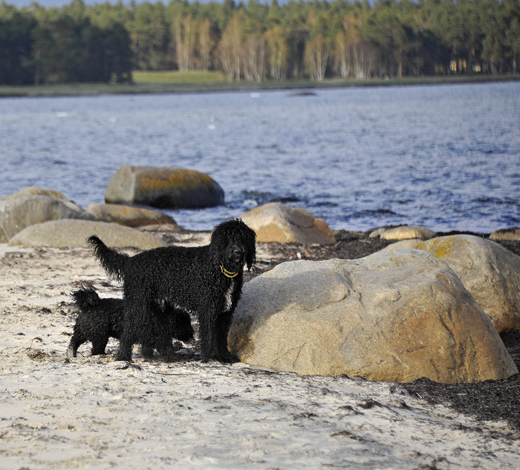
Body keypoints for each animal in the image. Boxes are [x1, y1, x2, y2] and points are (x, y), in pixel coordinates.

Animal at [89, 218, 256, 362]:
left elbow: (221, 338)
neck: (219, 268)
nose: (238, 252)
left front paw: (224, 357)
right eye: (228, 238)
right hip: (138, 303)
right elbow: (209, 336)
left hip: (161, 309)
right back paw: (123, 357)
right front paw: (210, 357)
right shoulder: (208, 309)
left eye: (243, 238)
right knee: (128, 331)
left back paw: (169, 357)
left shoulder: (225, 313)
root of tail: (130, 260)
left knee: (162, 335)